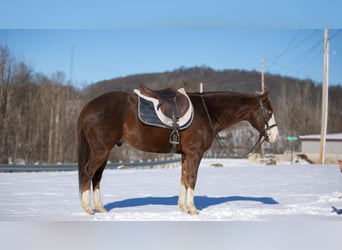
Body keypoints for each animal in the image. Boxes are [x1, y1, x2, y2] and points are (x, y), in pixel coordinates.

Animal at [77, 88, 278, 215]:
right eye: (269, 111)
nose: (275, 136)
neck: (207, 112)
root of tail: (89, 105)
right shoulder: (195, 153)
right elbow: (192, 179)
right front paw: (193, 209)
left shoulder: (185, 155)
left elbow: (183, 178)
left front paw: (182, 207)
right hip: (101, 150)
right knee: (88, 172)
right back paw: (87, 209)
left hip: (104, 151)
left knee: (96, 176)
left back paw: (100, 209)